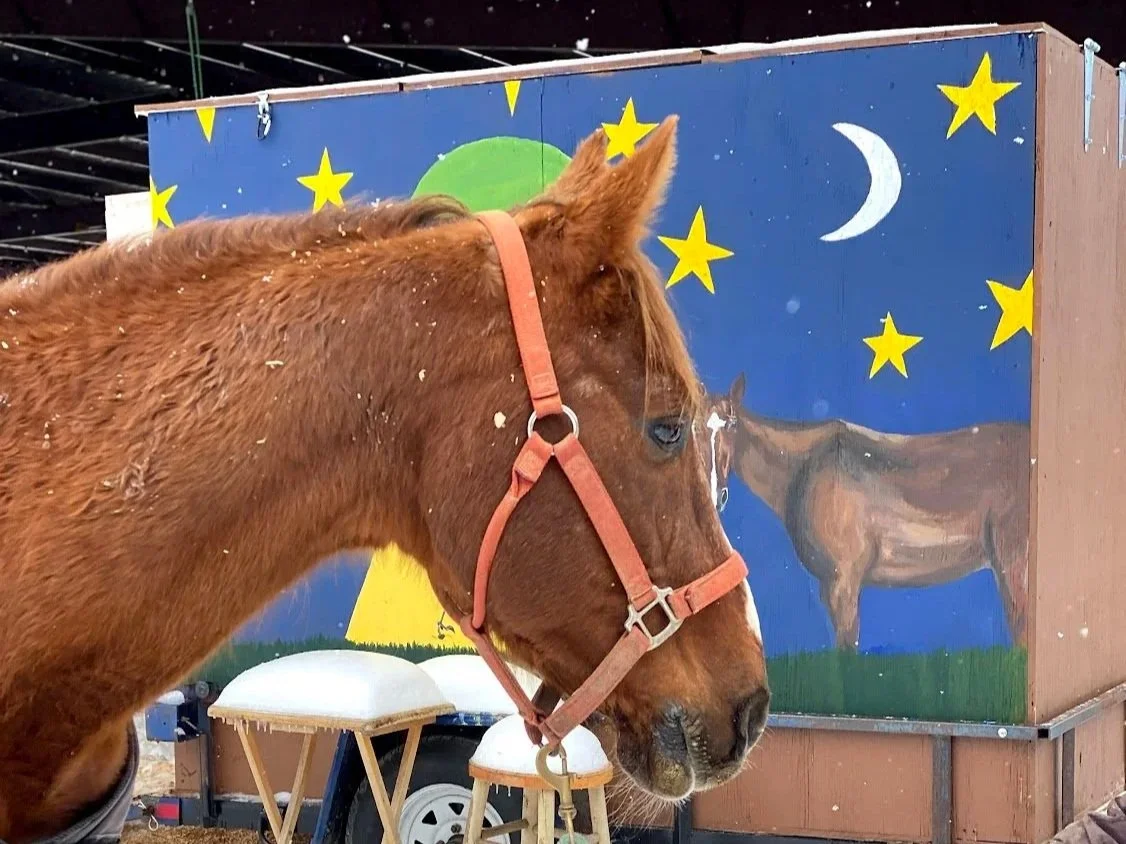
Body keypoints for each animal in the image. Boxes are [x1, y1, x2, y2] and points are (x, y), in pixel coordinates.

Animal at [705, 372, 1029, 651]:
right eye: (695, 426)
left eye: (732, 425)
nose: (715, 495)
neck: (806, 465)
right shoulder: (828, 588)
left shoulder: (844, 584)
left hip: (1013, 567)